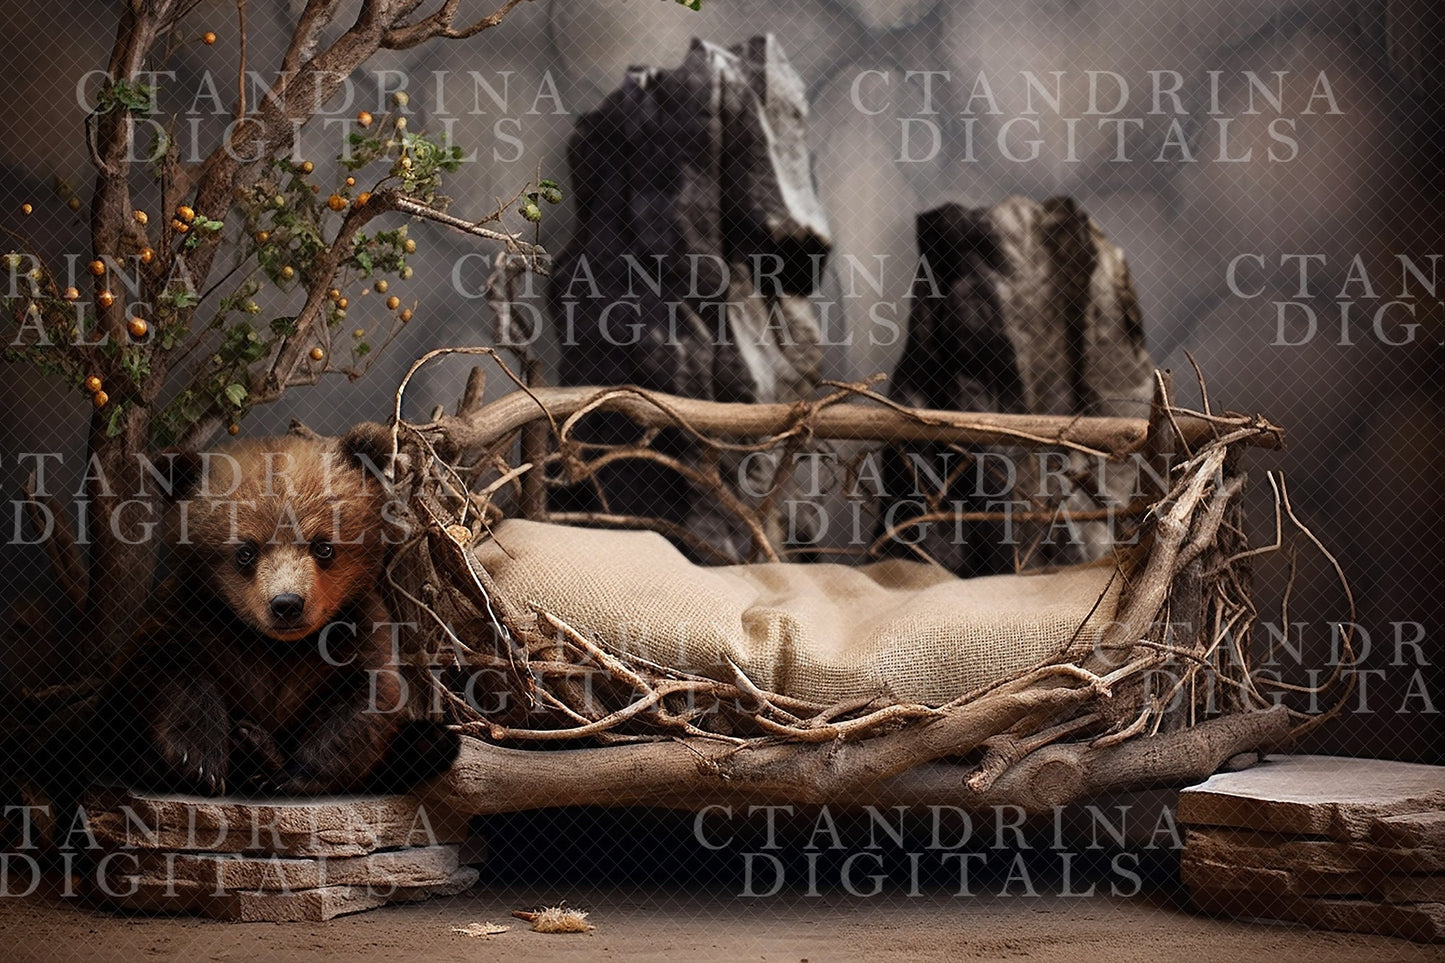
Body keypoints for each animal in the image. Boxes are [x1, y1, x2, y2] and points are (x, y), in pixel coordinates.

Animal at [81, 423, 459, 798]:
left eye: (323, 546)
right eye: (245, 552)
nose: (287, 604)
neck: (278, 646)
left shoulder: (355, 630)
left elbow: (361, 707)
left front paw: (287, 774)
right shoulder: (193, 618)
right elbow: (168, 676)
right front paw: (201, 762)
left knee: (427, 742)